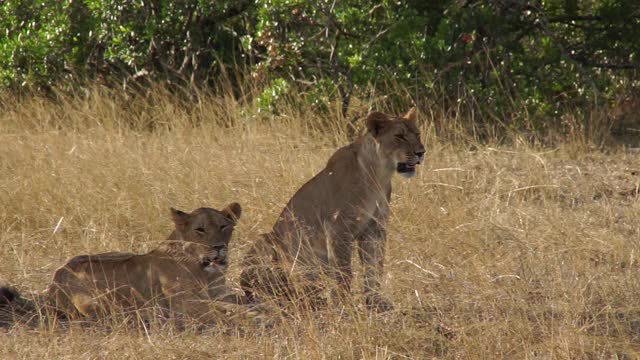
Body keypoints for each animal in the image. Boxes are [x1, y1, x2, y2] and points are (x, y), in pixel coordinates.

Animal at [0, 202, 248, 326]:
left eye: (224, 226)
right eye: (200, 230)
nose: (218, 247)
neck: (204, 270)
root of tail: (55, 277)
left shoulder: (219, 293)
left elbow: (234, 301)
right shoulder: (183, 301)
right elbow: (219, 308)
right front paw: (247, 314)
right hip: (96, 300)